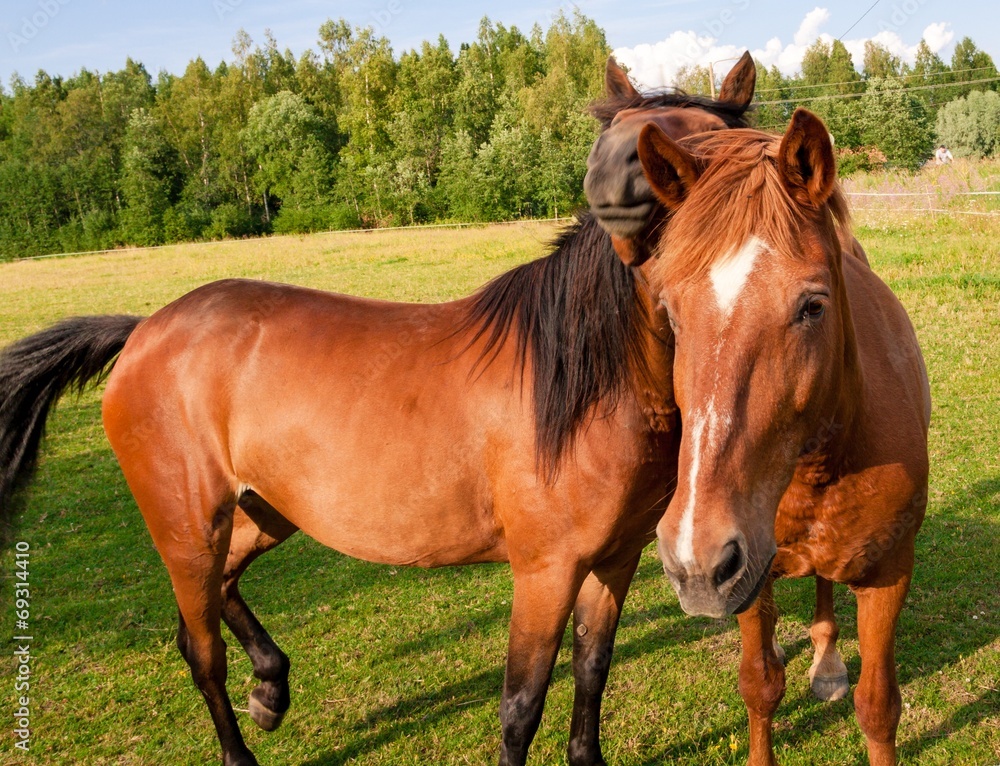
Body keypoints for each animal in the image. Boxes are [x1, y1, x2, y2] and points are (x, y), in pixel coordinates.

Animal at [0, 55, 752, 766]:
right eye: (616, 134)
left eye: (703, 145)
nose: (609, 189)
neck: (588, 383)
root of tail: (144, 330)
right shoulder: (546, 571)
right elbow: (521, 705)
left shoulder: (615, 559)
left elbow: (593, 672)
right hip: (190, 528)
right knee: (203, 649)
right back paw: (241, 744)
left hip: (262, 512)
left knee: (210, 608)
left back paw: (271, 686)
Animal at [612, 109, 932, 766]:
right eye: (670, 314)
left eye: (812, 306)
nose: (695, 560)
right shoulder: (749, 579)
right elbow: (760, 685)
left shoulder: (890, 573)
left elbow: (878, 707)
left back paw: (828, 662)